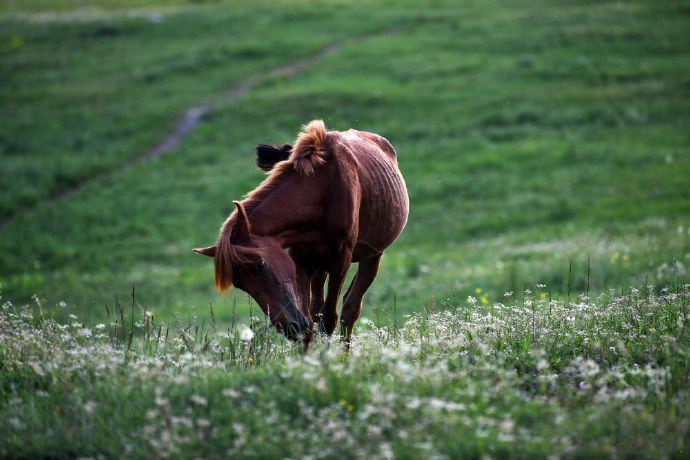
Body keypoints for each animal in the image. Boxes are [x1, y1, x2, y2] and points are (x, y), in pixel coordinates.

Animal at [192, 120, 408, 346]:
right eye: (239, 284)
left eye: (261, 264)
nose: (289, 327)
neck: (321, 188)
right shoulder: (301, 261)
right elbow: (311, 321)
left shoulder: (341, 261)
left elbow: (329, 319)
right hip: (320, 263)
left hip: (372, 255)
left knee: (350, 309)